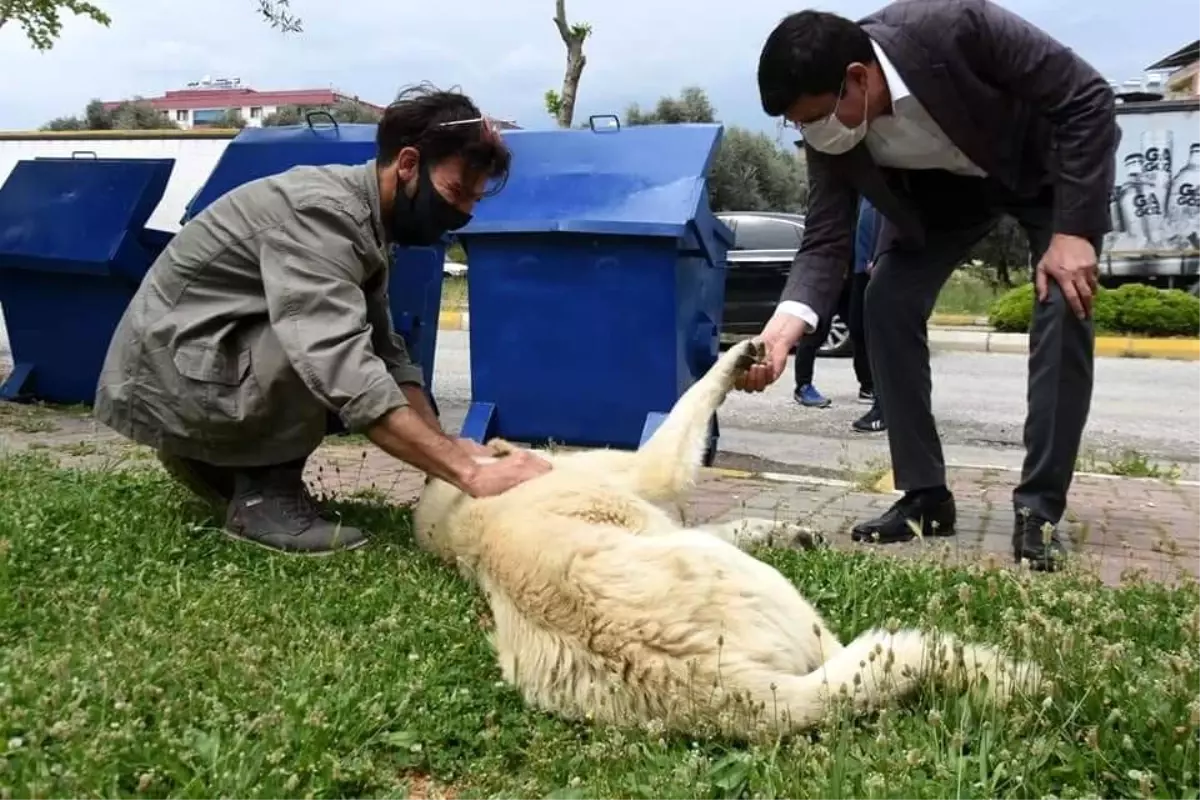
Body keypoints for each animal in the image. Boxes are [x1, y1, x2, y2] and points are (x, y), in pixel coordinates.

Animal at [412, 338, 1041, 738]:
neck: (466, 511)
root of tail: (729, 688)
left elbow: (736, 520)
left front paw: (788, 530)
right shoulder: (649, 470)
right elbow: (691, 400)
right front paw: (736, 358)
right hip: (769, 593)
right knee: (854, 659)